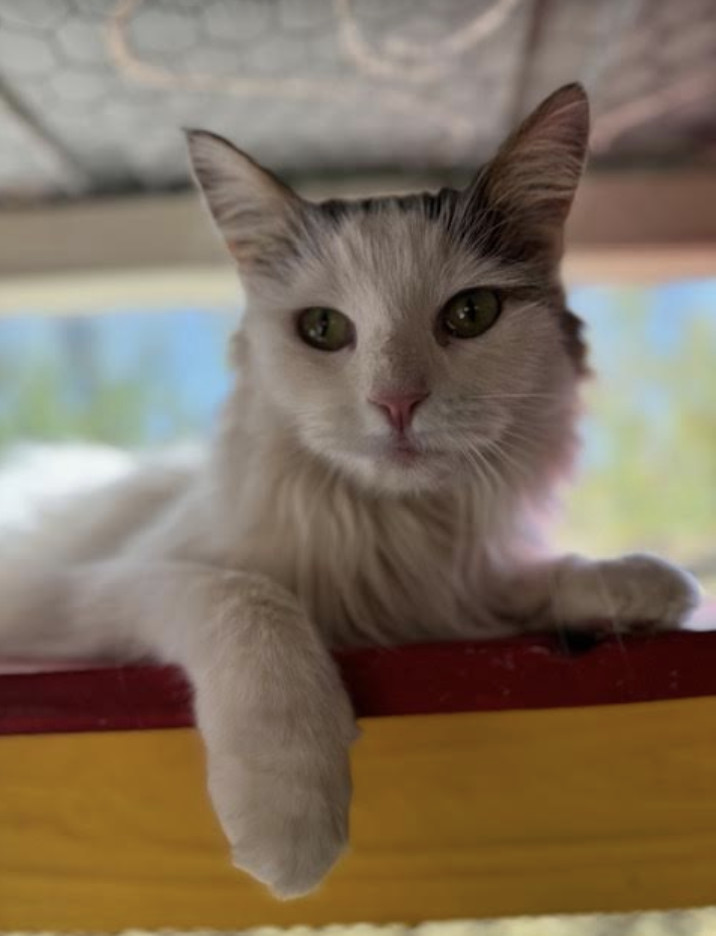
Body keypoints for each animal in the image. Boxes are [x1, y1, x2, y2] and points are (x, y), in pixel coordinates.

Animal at [0, 86, 700, 900]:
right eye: (323, 329)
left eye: (471, 315)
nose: (397, 403)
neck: (391, 534)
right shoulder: (95, 588)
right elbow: (246, 597)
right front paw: (290, 818)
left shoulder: (451, 583)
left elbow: (517, 578)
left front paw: (632, 581)